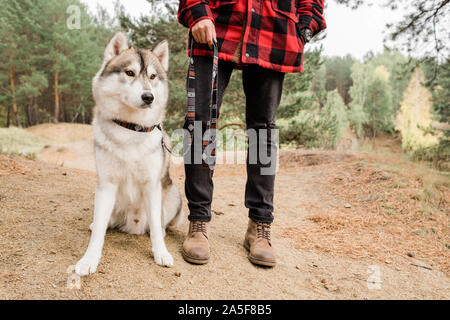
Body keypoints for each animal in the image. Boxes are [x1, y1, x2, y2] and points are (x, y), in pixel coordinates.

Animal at [75, 33, 183, 278]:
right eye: (130, 73)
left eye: (152, 76)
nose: (149, 96)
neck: (131, 128)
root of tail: (133, 226)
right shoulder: (106, 184)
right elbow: (98, 232)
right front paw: (89, 260)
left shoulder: (152, 185)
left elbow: (155, 224)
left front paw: (161, 253)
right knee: (104, 220)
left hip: (173, 194)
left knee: (159, 222)